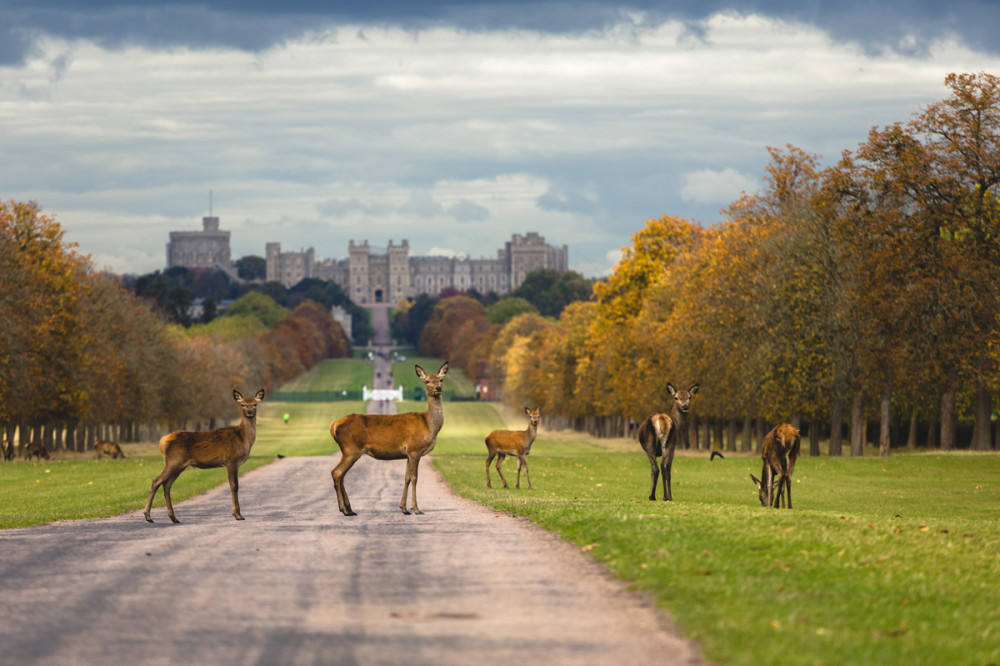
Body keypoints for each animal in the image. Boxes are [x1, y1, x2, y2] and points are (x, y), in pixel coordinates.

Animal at [144, 386, 266, 520]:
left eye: (255, 404)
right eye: (242, 404)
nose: (249, 412)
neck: (243, 438)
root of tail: (162, 441)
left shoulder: (234, 463)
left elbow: (236, 485)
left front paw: (237, 513)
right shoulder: (231, 460)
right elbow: (234, 485)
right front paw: (237, 515)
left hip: (179, 465)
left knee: (166, 484)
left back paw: (173, 518)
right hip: (173, 461)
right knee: (156, 480)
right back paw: (148, 516)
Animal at [330, 364, 448, 512]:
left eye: (441, 379)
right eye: (427, 381)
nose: (438, 388)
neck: (429, 425)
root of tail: (334, 425)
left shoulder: (408, 453)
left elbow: (406, 478)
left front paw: (403, 507)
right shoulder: (415, 449)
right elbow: (414, 478)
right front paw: (415, 508)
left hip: (349, 451)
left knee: (341, 475)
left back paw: (349, 509)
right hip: (350, 449)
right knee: (337, 472)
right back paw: (344, 509)